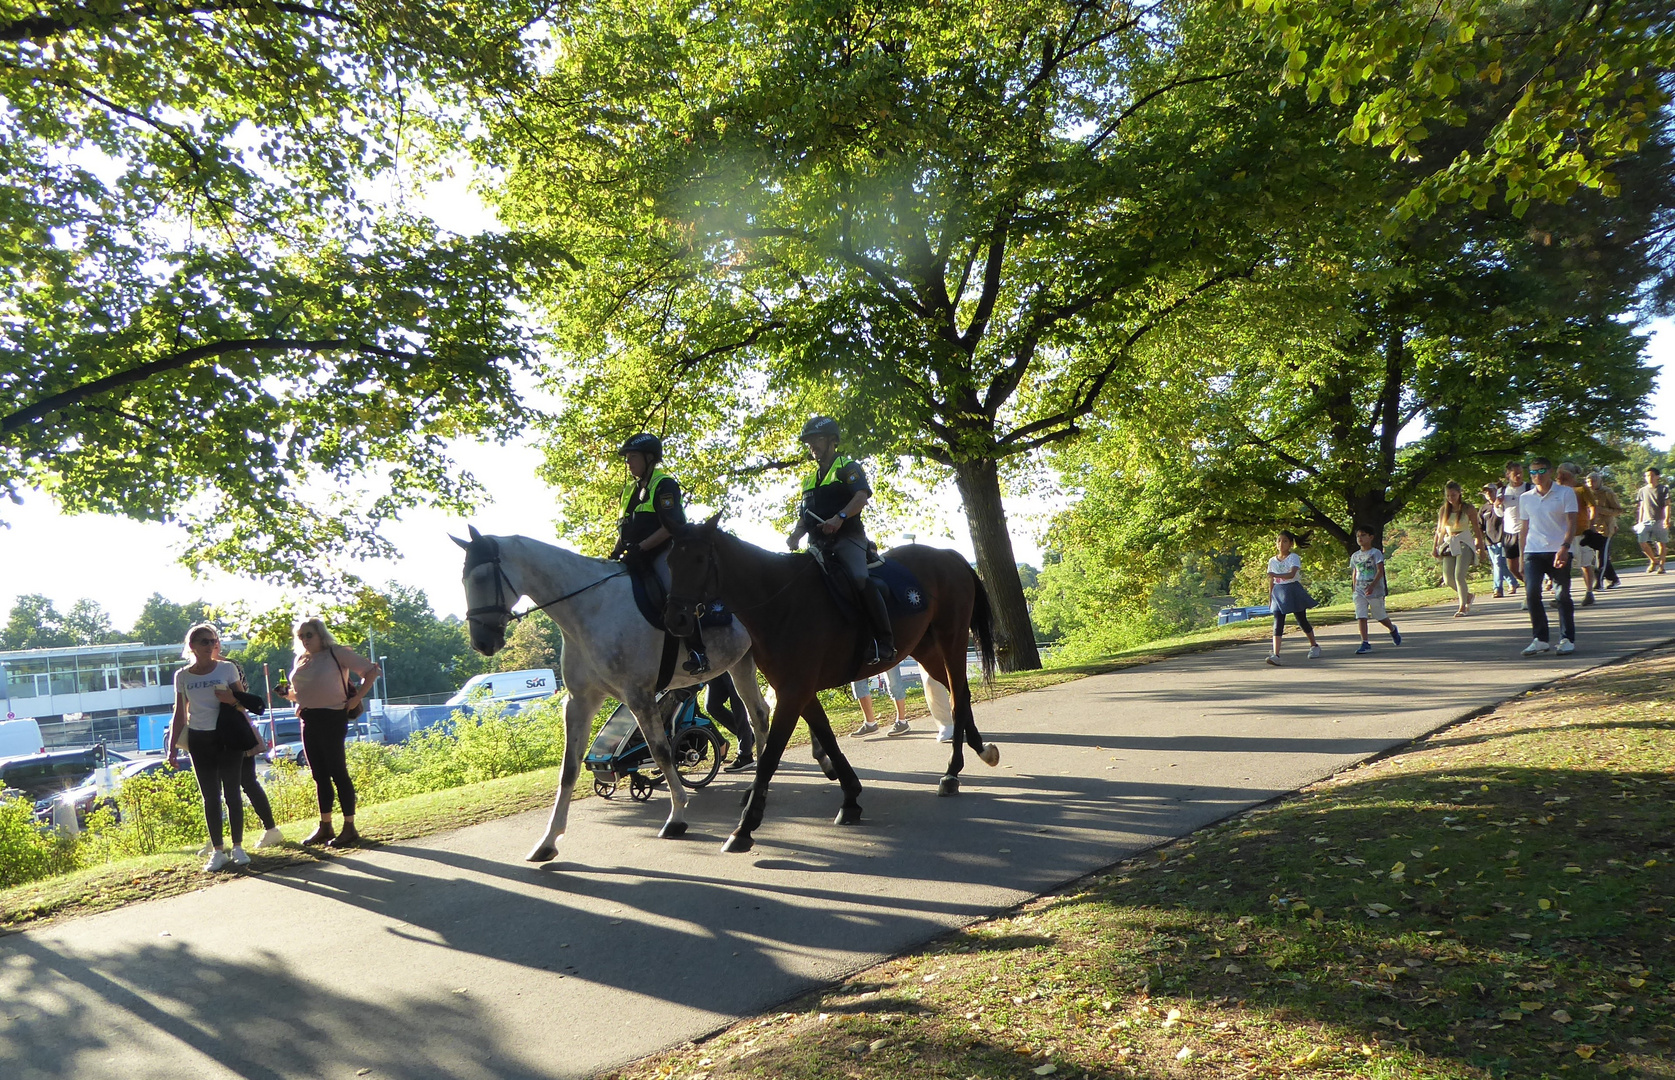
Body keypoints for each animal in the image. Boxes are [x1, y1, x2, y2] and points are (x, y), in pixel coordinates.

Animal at [663, 512, 991, 850]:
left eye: (700, 558)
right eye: (671, 561)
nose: (675, 619)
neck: (780, 601)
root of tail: (948, 556)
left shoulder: (794, 692)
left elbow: (771, 756)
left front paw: (744, 827)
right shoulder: (799, 690)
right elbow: (828, 738)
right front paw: (851, 798)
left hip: (952, 640)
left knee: (958, 697)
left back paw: (952, 773)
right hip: (925, 649)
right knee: (960, 694)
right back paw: (979, 750)